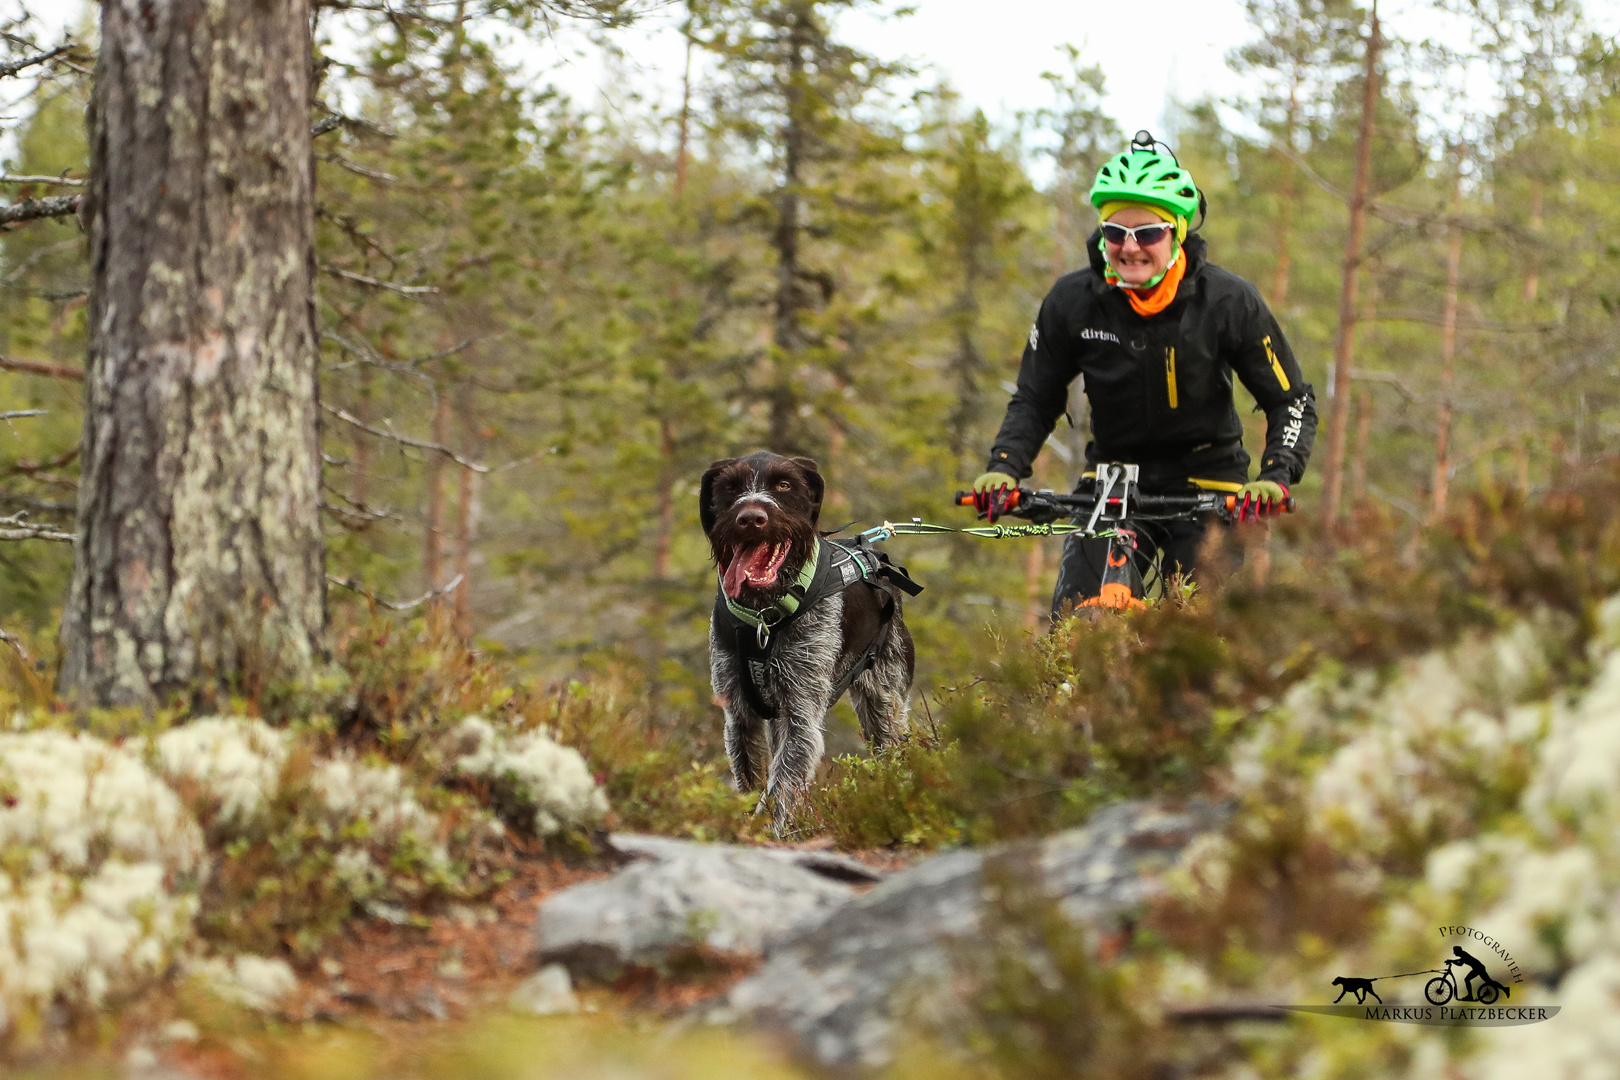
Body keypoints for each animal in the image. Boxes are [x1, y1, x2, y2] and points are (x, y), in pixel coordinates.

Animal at [696, 453, 913, 835]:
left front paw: (769, 832)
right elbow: (751, 779)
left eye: (784, 485)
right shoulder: (739, 714)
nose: (751, 518)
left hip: (883, 704)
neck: (764, 614)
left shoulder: (801, 712)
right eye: (731, 487)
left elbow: (782, 783)